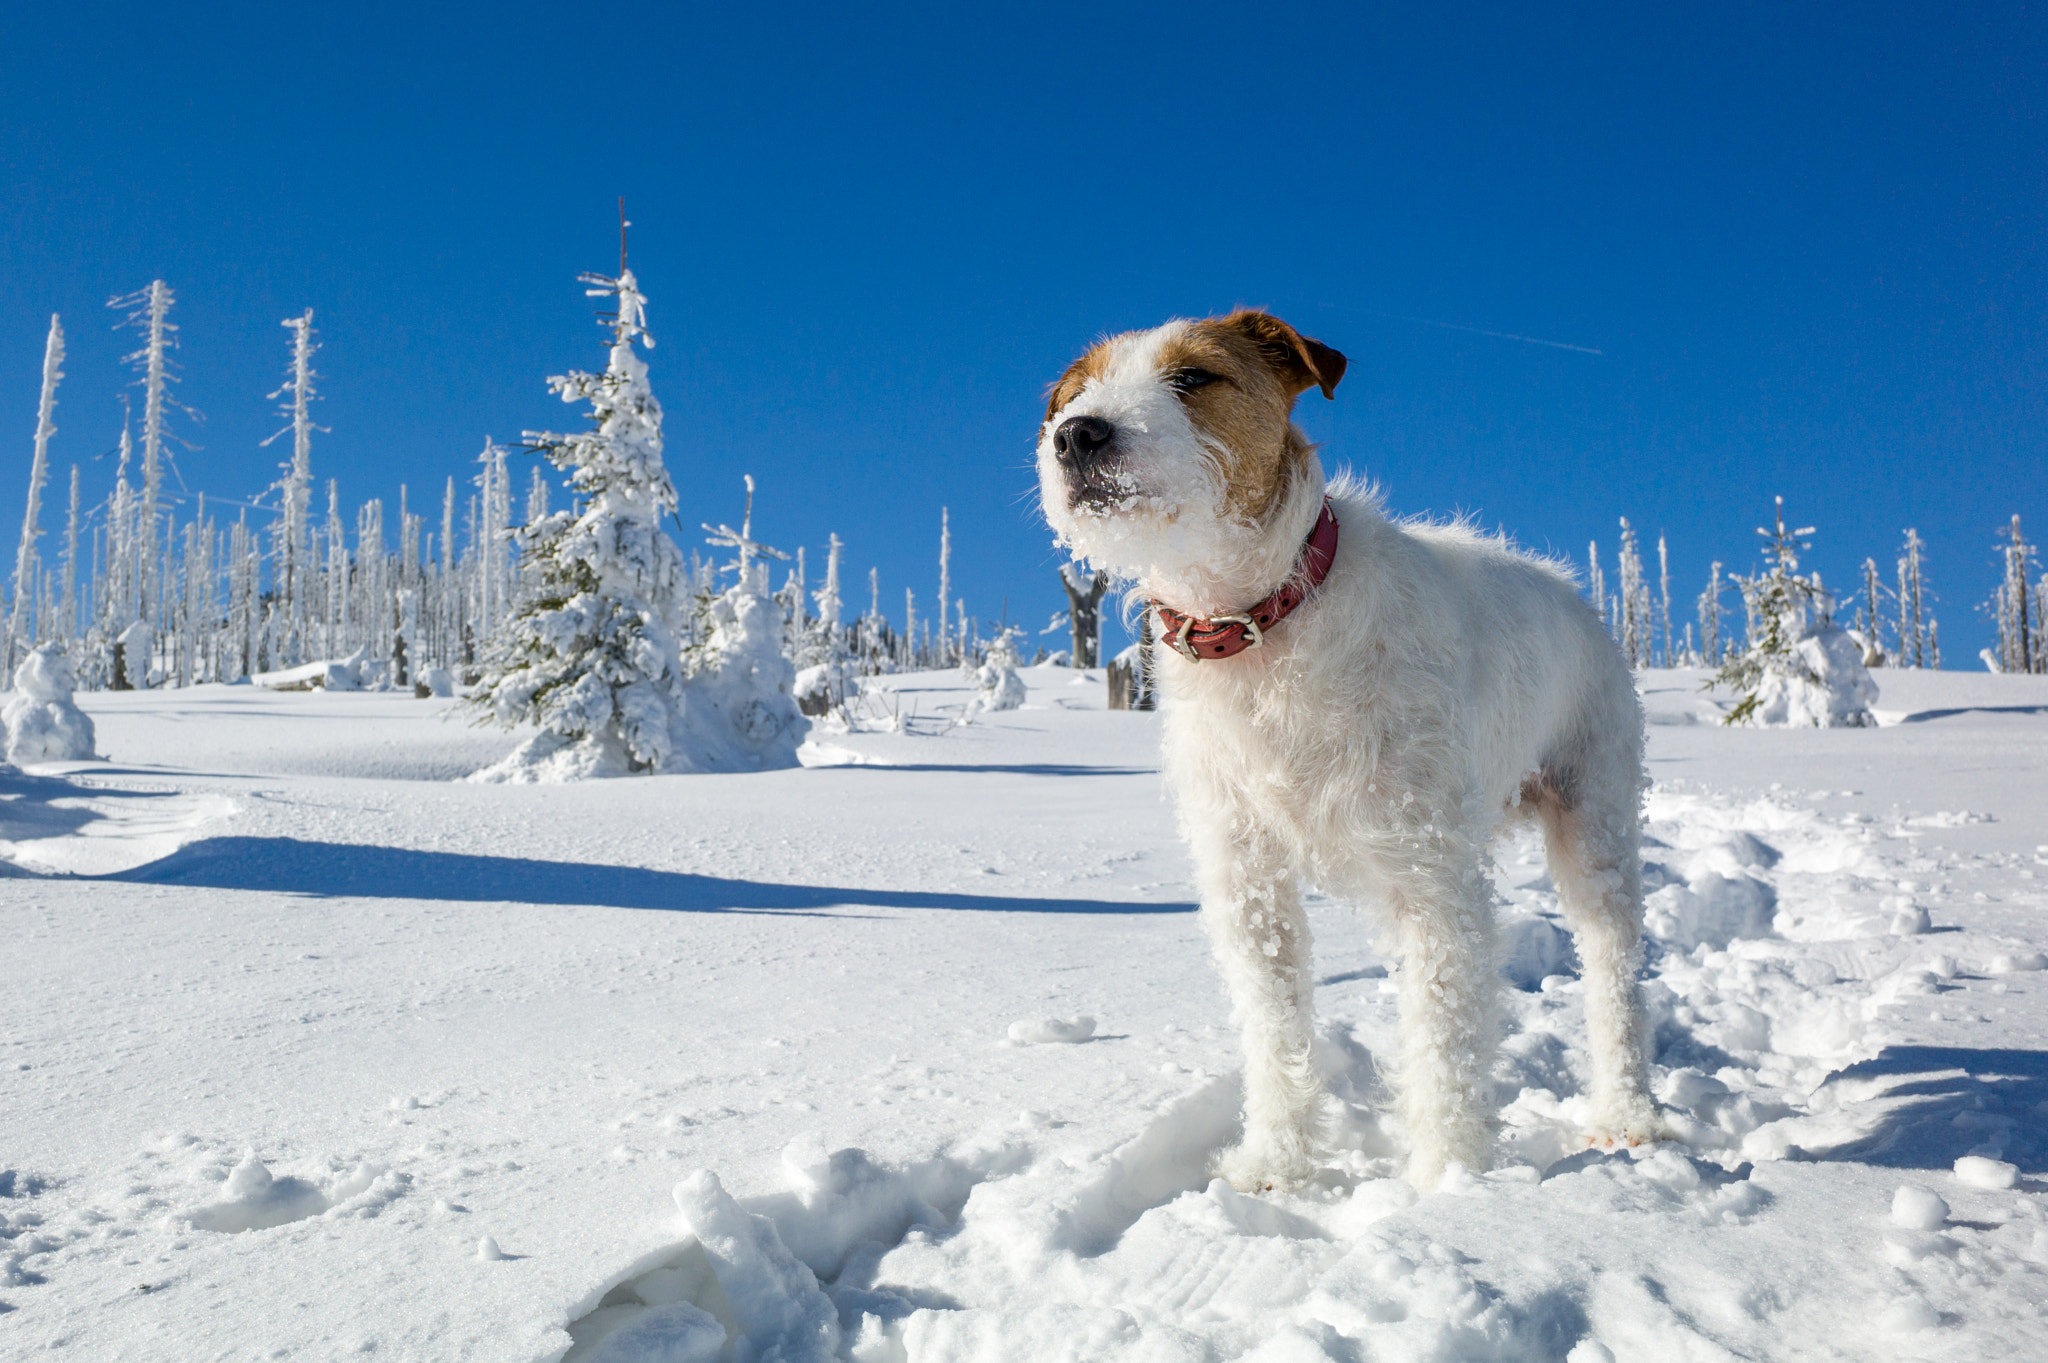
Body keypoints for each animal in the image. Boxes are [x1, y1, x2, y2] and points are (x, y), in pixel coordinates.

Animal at [1040, 313, 1662, 1186]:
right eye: (1074, 392)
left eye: (1193, 377)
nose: (1077, 433)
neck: (1265, 620)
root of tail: (1575, 591)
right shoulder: (1248, 879)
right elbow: (1275, 1026)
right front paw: (1275, 1162)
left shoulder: (1428, 878)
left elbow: (1444, 1035)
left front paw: (1448, 1184)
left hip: (1594, 824)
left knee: (1614, 970)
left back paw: (1626, 1112)